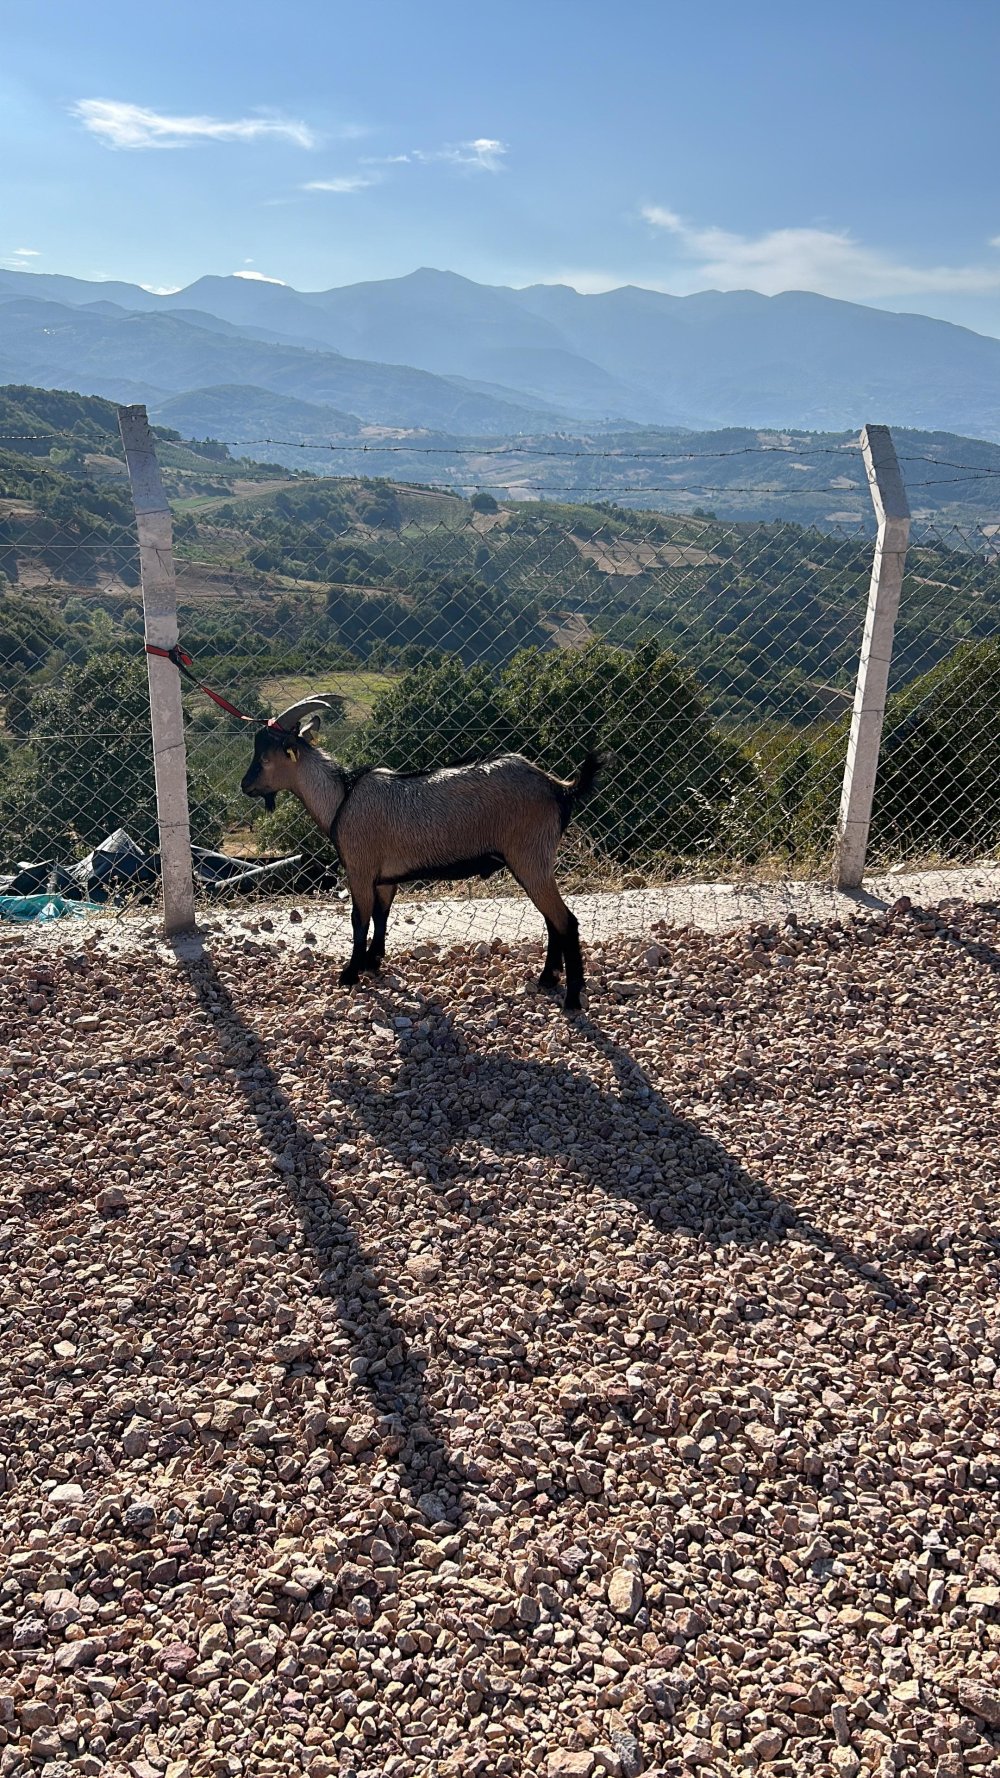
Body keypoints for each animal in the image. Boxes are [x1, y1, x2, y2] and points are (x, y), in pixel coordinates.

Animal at [241, 693, 597, 1009]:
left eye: (265, 758)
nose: (245, 786)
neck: (342, 797)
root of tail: (558, 788)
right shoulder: (385, 877)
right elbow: (381, 915)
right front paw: (373, 962)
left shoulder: (359, 868)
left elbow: (359, 919)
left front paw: (350, 973)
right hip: (533, 860)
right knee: (552, 920)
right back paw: (547, 979)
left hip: (529, 856)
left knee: (566, 921)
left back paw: (571, 999)